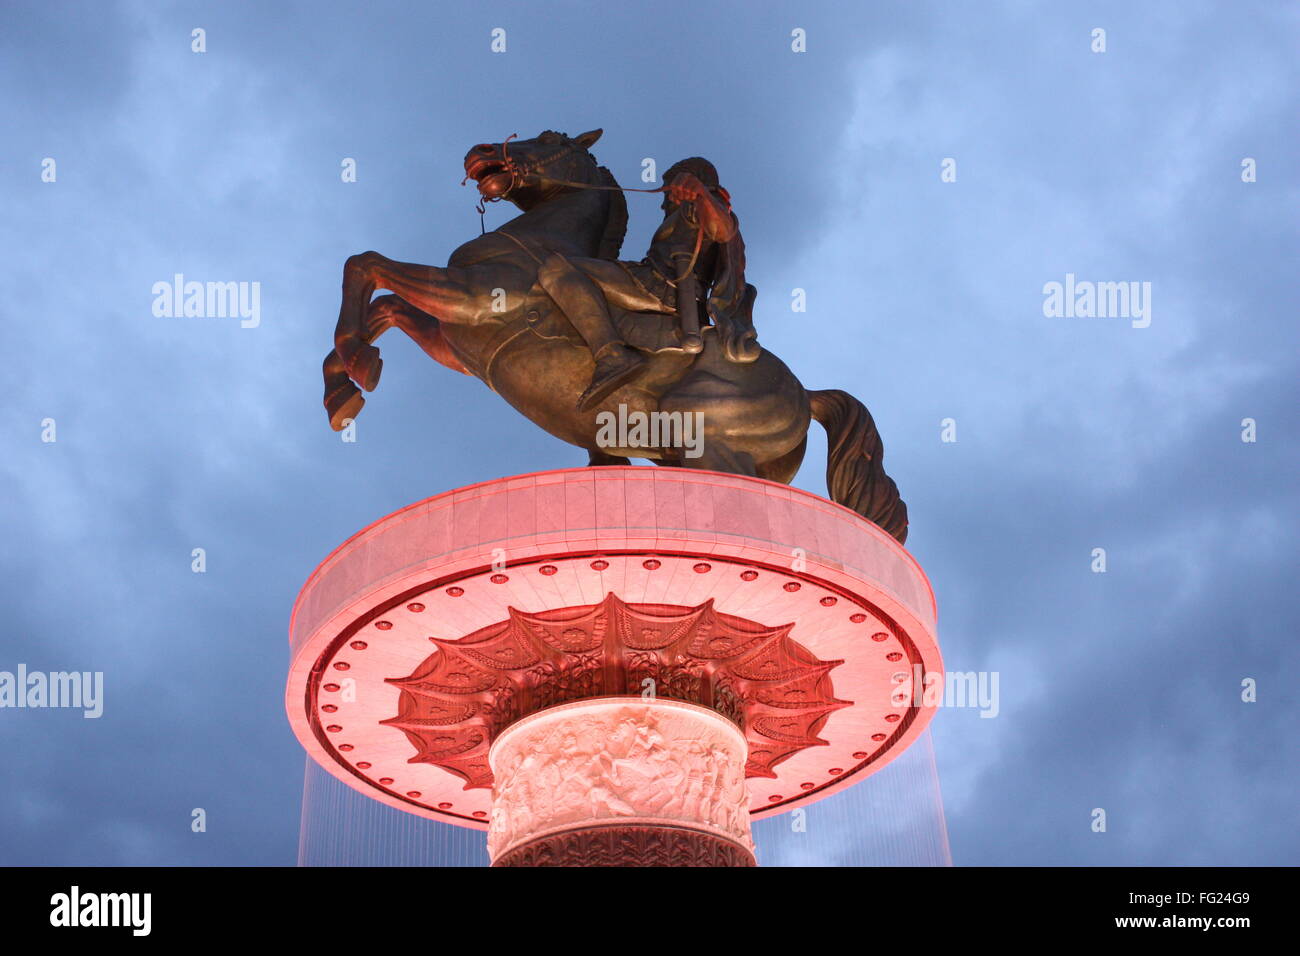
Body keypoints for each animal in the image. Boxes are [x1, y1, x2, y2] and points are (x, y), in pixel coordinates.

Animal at [327, 130, 915, 541]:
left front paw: (352, 368)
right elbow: (384, 306)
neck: (540, 239)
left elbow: (366, 264)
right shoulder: (455, 343)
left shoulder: (475, 296)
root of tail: (806, 394)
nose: (479, 151)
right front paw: (348, 382)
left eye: (549, 138)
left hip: (711, 446)